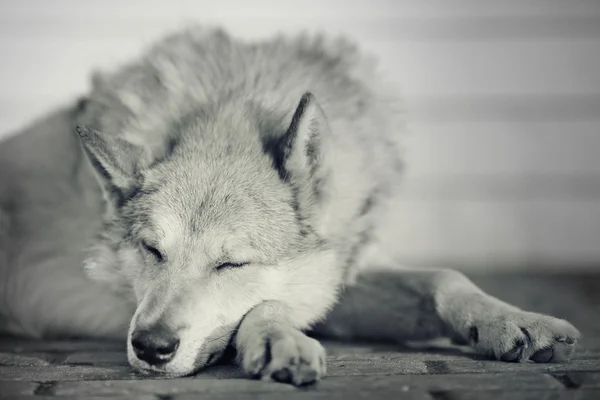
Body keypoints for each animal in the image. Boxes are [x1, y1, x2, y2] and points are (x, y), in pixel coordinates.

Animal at [1, 27, 580, 384]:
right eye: (152, 251)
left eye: (232, 264)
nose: (150, 347)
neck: (228, 106)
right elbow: (269, 304)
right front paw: (282, 340)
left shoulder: (343, 274)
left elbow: (445, 277)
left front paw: (513, 321)